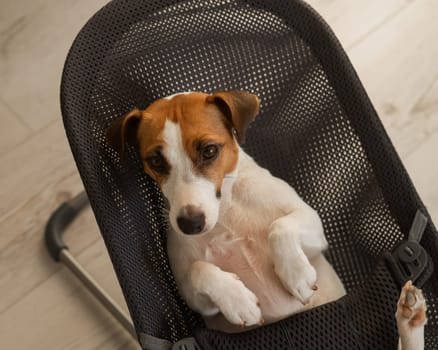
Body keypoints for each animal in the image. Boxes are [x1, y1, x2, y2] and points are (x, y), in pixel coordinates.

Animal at [107, 91, 428, 348]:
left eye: (209, 151)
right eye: (156, 161)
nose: (190, 224)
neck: (226, 213)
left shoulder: (312, 226)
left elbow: (280, 228)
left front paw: (296, 274)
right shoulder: (196, 300)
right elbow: (201, 270)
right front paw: (238, 300)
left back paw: (410, 320)